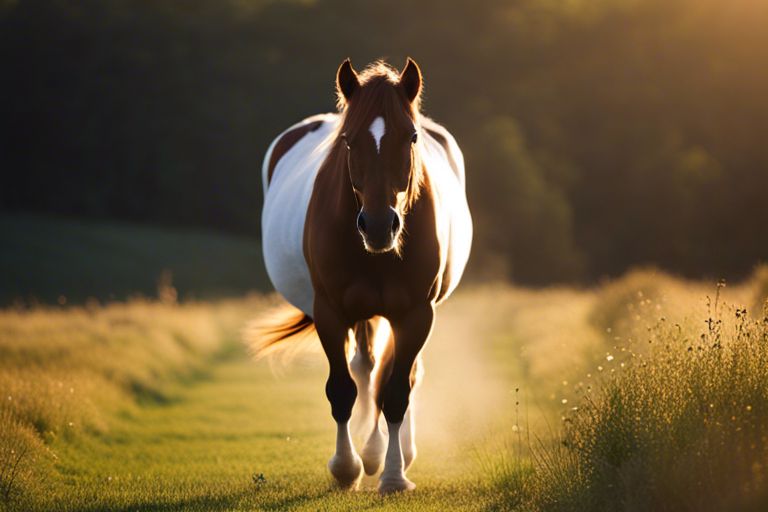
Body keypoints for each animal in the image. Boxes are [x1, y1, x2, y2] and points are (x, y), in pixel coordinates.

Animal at [253, 58, 472, 494]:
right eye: (349, 141)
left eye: (411, 137)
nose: (378, 226)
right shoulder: (330, 312)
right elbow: (342, 389)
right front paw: (345, 467)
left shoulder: (417, 314)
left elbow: (397, 391)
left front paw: (394, 474)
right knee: (364, 369)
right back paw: (368, 452)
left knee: (393, 375)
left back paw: (390, 453)